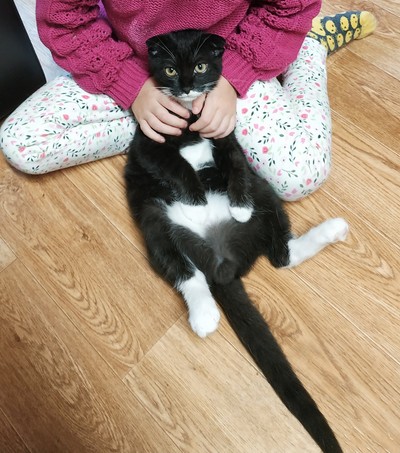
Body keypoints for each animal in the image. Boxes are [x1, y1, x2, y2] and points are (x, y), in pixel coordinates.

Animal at [125, 29, 347, 453]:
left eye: (200, 66)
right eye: (170, 70)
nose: (187, 86)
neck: (191, 122)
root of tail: (220, 260)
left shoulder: (226, 134)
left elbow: (236, 163)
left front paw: (237, 203)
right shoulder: (148, 142)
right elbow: (174, 164)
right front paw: (194, 197)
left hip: (267, 194)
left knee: (282, 254)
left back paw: (329, 229)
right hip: (153, 222)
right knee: (186, 272)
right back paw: (204, 315)